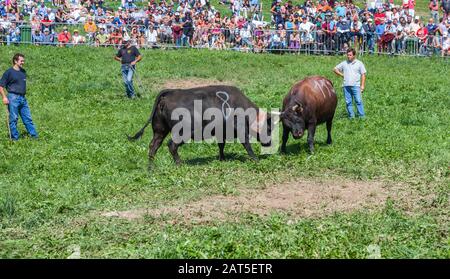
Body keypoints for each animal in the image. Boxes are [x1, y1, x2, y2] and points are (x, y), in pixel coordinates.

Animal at [128, 84, 272, 165]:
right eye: (269, 128)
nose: (269, 143)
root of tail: (170, 93)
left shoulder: (221, 132)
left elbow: (221, 145)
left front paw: (222, 158)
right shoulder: (241, 130)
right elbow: (247, 145)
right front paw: (255, 159)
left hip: (160, 130)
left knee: (153, 146)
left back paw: (151, 167)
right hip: (182, 132)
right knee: (171, 145)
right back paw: (179, 164)